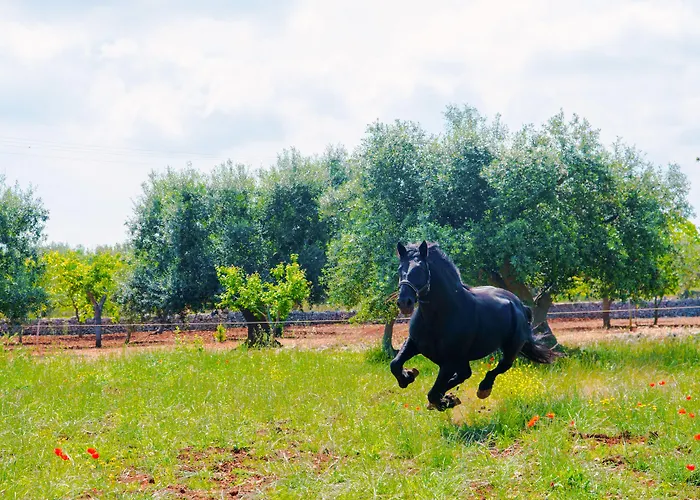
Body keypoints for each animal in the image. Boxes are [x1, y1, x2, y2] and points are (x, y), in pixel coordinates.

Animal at [390, 240, 562, 411]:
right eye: (400, 268)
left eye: (420, 269)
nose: (404, 302)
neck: (439, 316)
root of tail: (519, 304)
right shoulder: (414, 343)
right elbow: (395, 364)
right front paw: (408, 376)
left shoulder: (450, 361)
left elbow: (433, 393)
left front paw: (445, 401)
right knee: (465, 374)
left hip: (512, 347)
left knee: (501, 366)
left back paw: (483, 389)